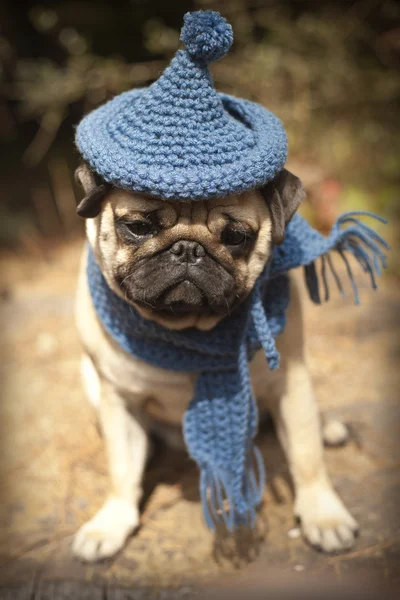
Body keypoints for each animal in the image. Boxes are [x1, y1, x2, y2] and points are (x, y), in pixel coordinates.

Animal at [72, 164, 360, 564]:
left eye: (235, 237)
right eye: (139, 227)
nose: (188, 249)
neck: (183, 331)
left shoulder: (291, 382)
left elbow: (307, 456)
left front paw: (324, 515)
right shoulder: (120, 401)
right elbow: (120, 469)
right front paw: (110, 523)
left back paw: (328, 426)